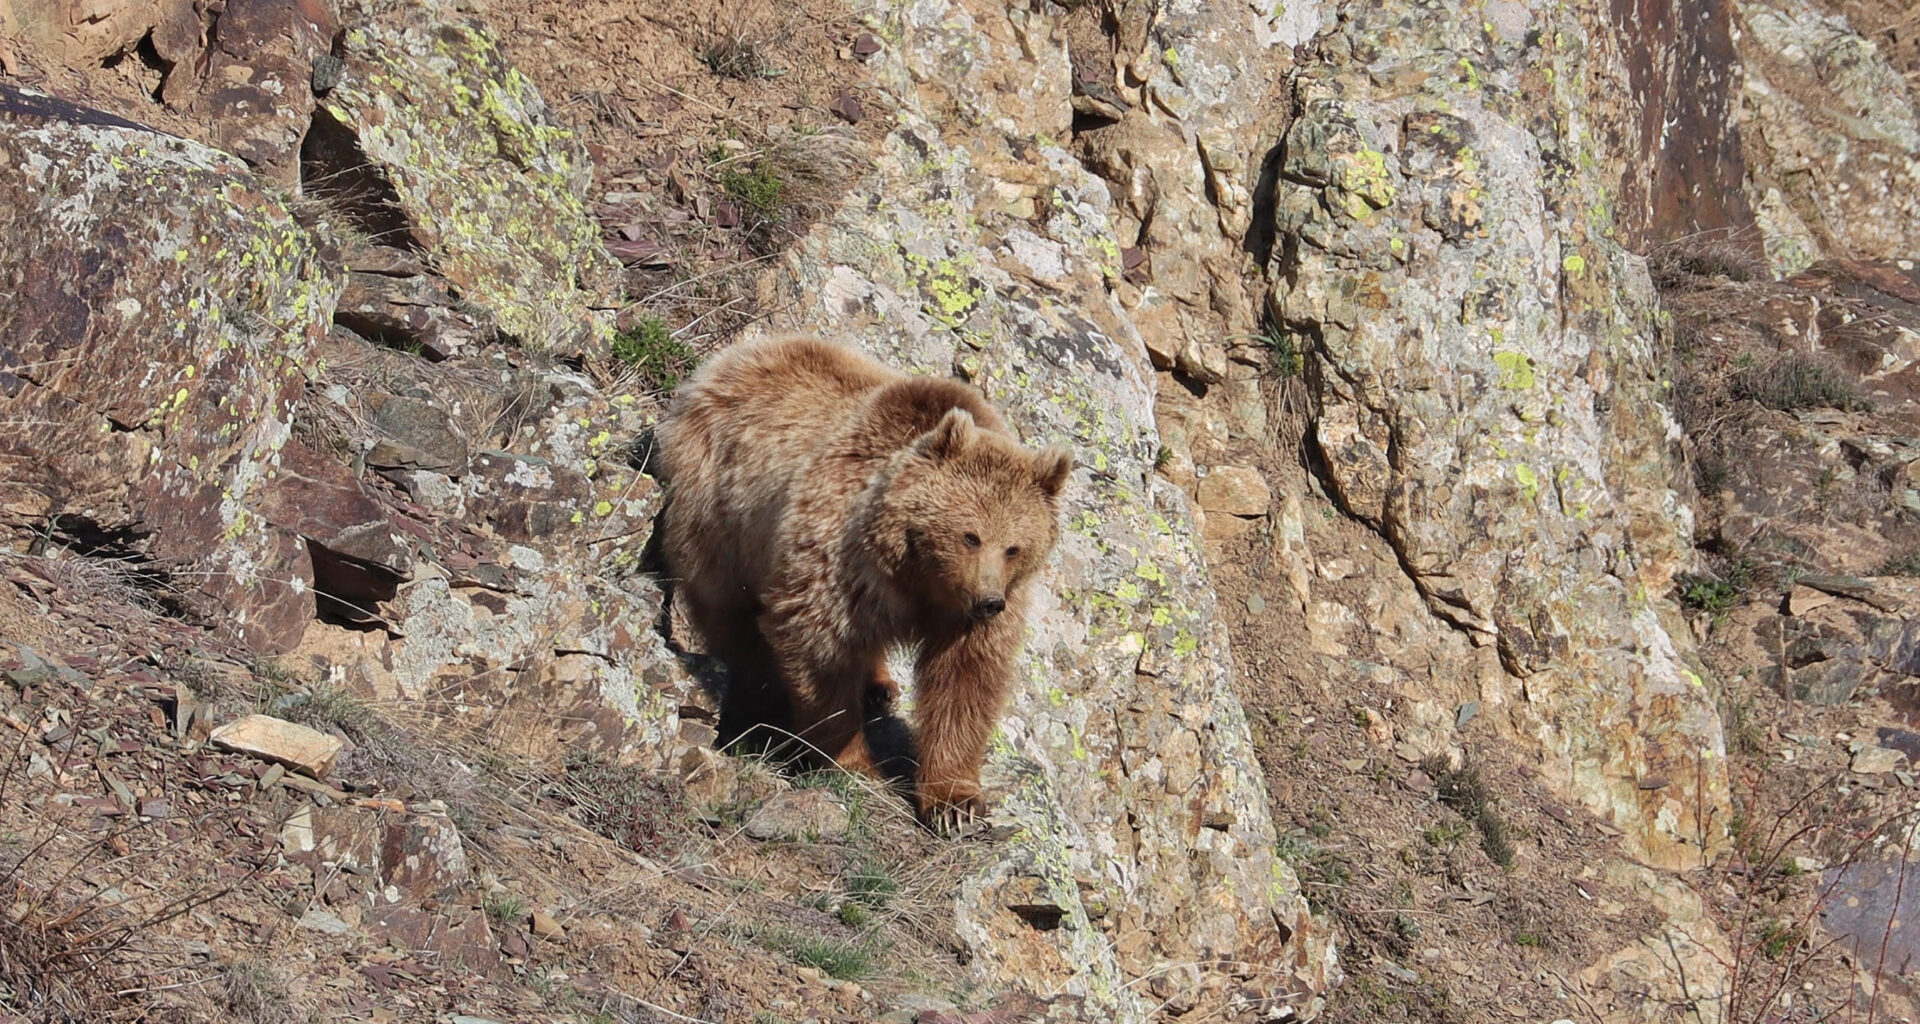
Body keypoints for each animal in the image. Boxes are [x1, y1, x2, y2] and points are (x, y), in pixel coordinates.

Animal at [655, 335, 1071, 827]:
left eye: (1015, 547)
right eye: (970, 535)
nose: (989, 602)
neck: (919, 576)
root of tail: (732, 359)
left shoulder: (975, 611)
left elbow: (966, 679)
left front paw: (956, 803)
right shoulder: (841, 557)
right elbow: (821, 649)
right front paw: (852, 763)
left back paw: (878, 687)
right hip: (720, 508)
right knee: (726, 608)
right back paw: (758, 696)